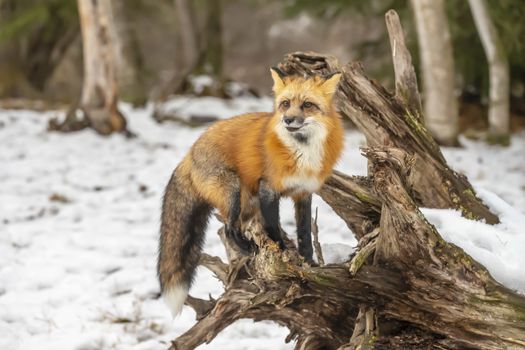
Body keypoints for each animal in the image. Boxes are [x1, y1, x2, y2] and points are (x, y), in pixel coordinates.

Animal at [156, 67, 344, 316]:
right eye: (285, 104)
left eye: (307, 105)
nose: (287, 119)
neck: (302, 153)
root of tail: (189, 152)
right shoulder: (268, 188)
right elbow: (273, 229)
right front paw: (285, 258)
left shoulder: (303, 192)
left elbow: (304, 233)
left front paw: (309, 264)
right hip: (234, 192)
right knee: (228, 229)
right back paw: (247, 249)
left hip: (248, 202)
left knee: (234, 227)